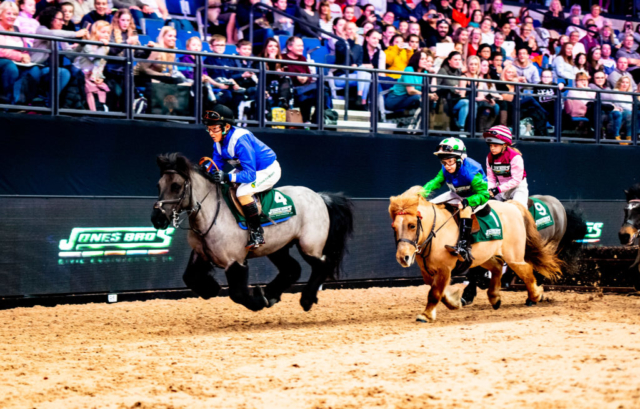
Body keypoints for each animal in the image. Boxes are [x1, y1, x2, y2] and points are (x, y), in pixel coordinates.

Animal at [151, 155, 356, 310]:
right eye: (158, 185)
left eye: (176, 186)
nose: (157, 219)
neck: (212, 215)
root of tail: (321, 197)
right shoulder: (200, 254)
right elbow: (189, 278)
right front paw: (211, 288)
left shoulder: (236, 261)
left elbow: (238, 294)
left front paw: (258, 301)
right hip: (278, 248)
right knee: (292, 269)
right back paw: (272, 294)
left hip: (309, 245)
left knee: (323, 265)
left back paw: (305, 299)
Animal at [390, 185, 560, 322]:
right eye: (394, 227)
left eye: (412, 225)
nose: (403, 258)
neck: (435, 232)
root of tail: (512, 206)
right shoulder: (427, 272)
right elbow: (439, 290)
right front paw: (454, 303)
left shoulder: (444, 269)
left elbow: (435, 292)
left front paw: (425, 315)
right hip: (483, 256)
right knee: (498, 266)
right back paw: (495, 297)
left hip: (513, 256)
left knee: (525, 270)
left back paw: (535, 295)